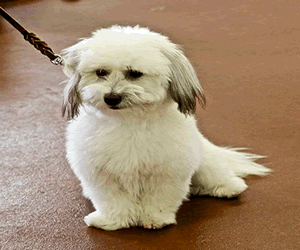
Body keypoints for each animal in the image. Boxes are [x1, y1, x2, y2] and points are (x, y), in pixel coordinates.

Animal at [61, 25, 272, 230]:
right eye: (101, 72)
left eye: (135, 73)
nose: (111, 97)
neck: (129, 121)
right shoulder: (101, 174)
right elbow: (113, 201)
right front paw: (114, 221)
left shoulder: (167, 171)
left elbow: (160, 198)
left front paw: (155, 219)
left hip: (205, 162)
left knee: (218, 175)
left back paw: (228, 187)